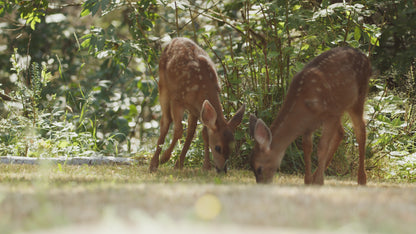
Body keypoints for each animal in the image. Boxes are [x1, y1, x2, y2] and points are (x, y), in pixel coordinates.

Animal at [150, 37, 245, 174]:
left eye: (232, 147)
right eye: (218, 148)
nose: (222, 170)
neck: (202, 87)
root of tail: (174, 40)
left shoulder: (199, 108)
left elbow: (203, 134)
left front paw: (206, 166)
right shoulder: (177, 100)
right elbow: (178, 130)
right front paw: (165, 158)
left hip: (191, 109)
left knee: (190, 131)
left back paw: (178, 164)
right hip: (163, 87)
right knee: (166, 121)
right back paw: (154, 164)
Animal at [249, 47, 372, 185]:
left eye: (259, 169)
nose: (262, 185)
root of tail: (365, 57)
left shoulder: (331, 114)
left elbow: (322, 147)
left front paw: (319, 181)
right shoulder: (309, 125)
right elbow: (307, 148)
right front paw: (308, 181)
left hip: (358, 98)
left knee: (360, 130)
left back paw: (361, 179)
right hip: (341, 108)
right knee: (341, 132)